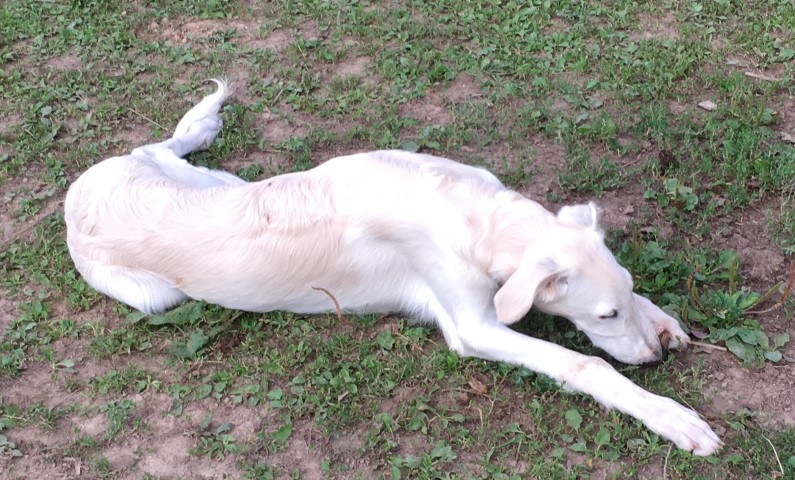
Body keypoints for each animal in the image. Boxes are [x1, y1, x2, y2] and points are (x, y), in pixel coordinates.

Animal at [64, 80, 721, 456]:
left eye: (627, 294)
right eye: (604, 315)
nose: (655, 360)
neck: (476, 214)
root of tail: (77, 192)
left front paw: (665, 321)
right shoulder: (472, 327)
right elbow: (587, 364)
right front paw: (672, 416)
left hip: (219, 181)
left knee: (156, 147)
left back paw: (200, 123)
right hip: (155, 294)